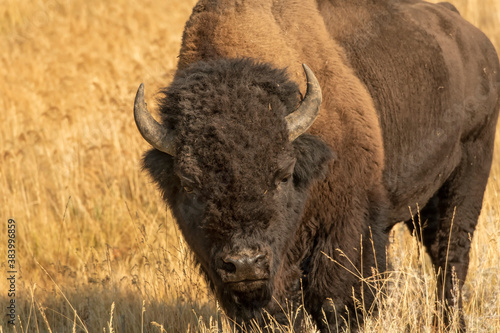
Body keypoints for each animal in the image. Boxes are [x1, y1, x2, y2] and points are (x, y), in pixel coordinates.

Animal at [133, 0, 500, 330]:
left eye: (283, 174)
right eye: (189, 182)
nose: (245, 263)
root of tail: (473, 37)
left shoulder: (344, 228)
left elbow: (333, 301)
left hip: (470, 169)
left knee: (450, 256)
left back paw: (450, 323)